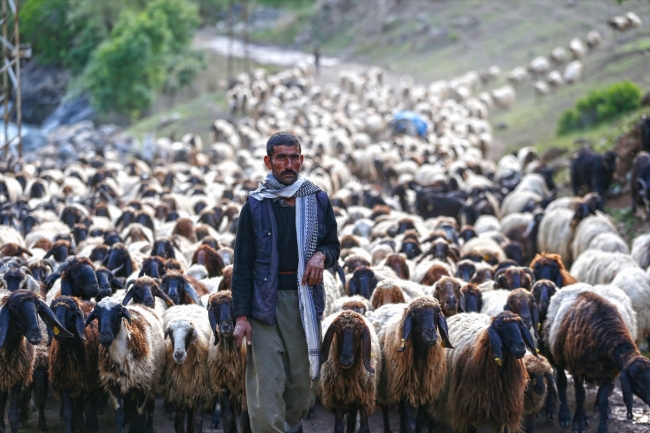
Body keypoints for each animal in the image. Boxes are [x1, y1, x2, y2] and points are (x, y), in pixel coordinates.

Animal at [161, 304, 211, 432]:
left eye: (189, 334)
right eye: (170, 334)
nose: (178, 354)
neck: (187, 371)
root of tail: (185, 305)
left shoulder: (199, 392)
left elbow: (198, 421)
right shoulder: (179, 393)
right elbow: (178, 422)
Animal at [374, 296, 450, 430]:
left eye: (438, 311)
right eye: (414, 313)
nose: (431, 335)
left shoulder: (426, 390)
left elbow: (419, 420)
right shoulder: (402, 388)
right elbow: (410, 423)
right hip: (384, 384)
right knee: (385, 409)